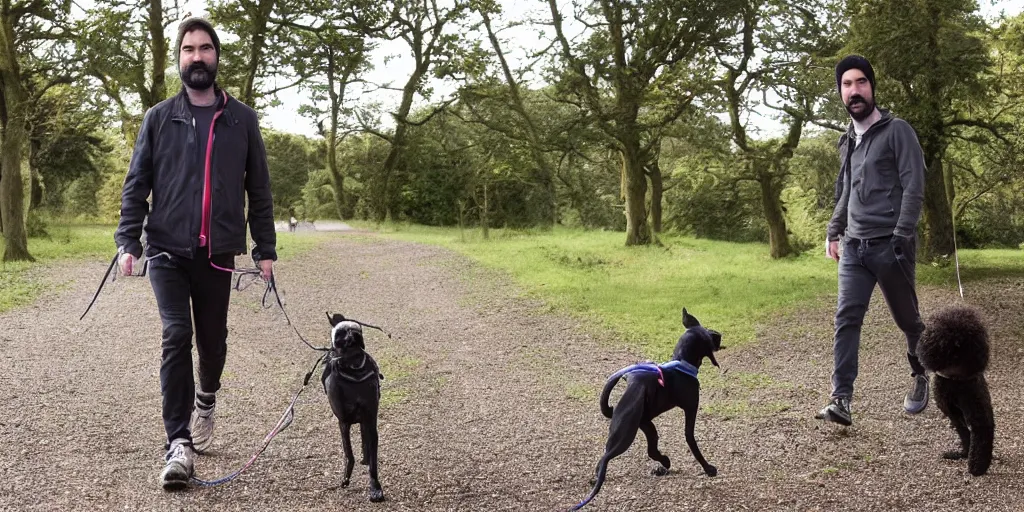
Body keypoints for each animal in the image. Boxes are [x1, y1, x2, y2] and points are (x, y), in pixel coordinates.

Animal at [321, 313, 385, 501]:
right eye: (340, 334)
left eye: (358, 330)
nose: (353, 335)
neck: (354, 367)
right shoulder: (344, 422)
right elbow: (349, 454)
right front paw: (346, 478)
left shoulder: (370, 421)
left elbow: (373, 461)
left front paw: (375, 488)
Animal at [573, 305, 724, 509]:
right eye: (708, 334)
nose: (719, 334)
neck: (682, 363)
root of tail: (631, 384)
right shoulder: (691, 409)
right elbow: (691, 440)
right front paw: (708, 468)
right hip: (625, 433)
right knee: (607, 457)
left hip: (644, 426)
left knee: (648, 451)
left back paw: (663, 463)